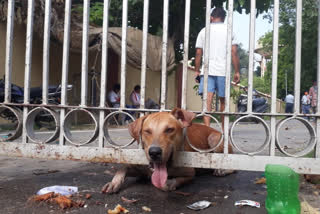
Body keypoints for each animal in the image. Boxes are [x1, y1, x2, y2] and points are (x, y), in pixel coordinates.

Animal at [101, 108, 231, 193]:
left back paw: (221, 170)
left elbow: (168, 183)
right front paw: (114, 182)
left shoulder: (190, 172)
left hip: (214, 138)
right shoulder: (140, 168)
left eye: (169, 129)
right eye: (147, 131)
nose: (154, 152)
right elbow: (123, 168)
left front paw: (169, 184)